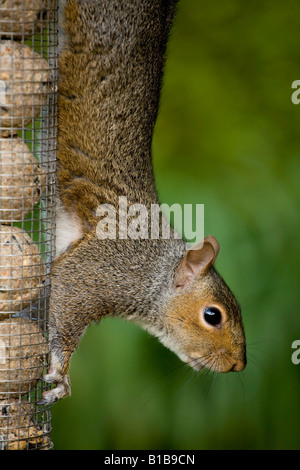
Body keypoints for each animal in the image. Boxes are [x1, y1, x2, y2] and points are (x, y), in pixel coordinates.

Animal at [39, 0, 246, 404]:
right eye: (213, 316)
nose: (238, 365)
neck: (154, 271)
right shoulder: (101, 270)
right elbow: (65, 299)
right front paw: (62, 375)